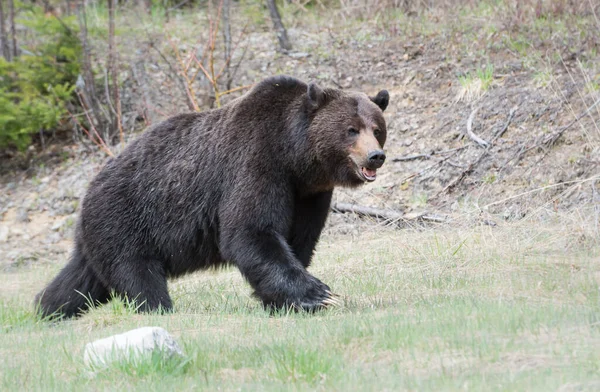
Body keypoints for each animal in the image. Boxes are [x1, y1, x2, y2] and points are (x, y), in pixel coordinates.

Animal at [36, 76, 390, 318]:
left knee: (81, 279)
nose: (375, 156)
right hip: (125, 220)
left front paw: (282, 301)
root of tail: (87, 193)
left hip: (103, 235)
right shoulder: (257, 164)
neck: (296, 157)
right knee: (137, 275)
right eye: (351, 129)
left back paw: (46, 308)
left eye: (377, 128)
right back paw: (159, 308)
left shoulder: (309, 194)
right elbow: (250, 230)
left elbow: (298, 239)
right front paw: (317, 294)